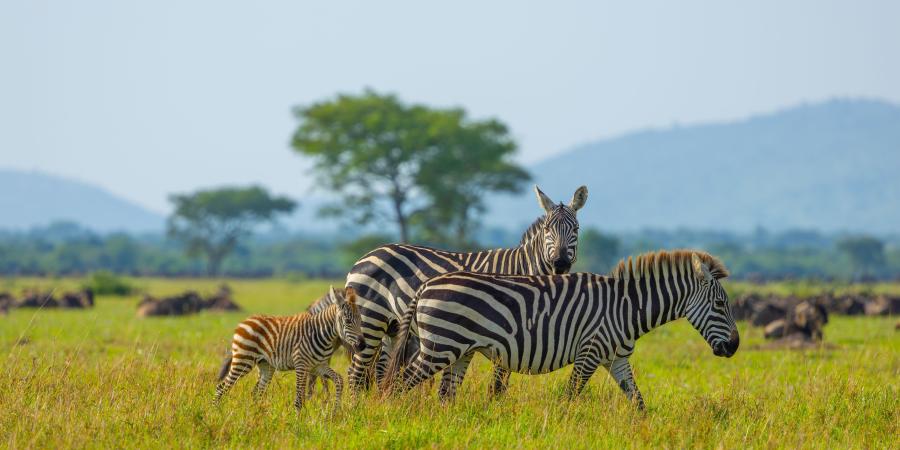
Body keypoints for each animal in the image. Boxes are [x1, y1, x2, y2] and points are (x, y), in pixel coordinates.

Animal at [214, 286, 362, 410]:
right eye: (347, 321)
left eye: (360, 320)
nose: (362, 344)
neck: (321, 333)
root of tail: (245, 320)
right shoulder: (301, 365)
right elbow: (299, 399)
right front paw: (298, 423)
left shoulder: (318, 366)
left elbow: (339, 380)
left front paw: (335, 411)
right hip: (243, 360)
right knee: (221, 387)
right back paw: (216, 412)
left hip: (265, 365)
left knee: (257, 393)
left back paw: (258, 415)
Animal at [344, 185, 592, 396]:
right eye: (548, 229)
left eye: (576, 229)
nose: (560, 263)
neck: (524, 268)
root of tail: (365, 256)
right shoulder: (510, 332)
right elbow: (498, 385)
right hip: (370, 320)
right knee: (356, 373)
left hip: (392, 327)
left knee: (378, 371)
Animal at [384, 250, 740, 408]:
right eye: (720, 305)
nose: (735, 347)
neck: (626, 307)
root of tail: (426, 285)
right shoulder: (590, 352)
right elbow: (570, 397)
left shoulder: (617, 359)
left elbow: (637, 401)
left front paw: (645, 431)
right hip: (439, 347)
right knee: (397, 384)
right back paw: (390, 417)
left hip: (459, 351)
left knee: (445, 394)